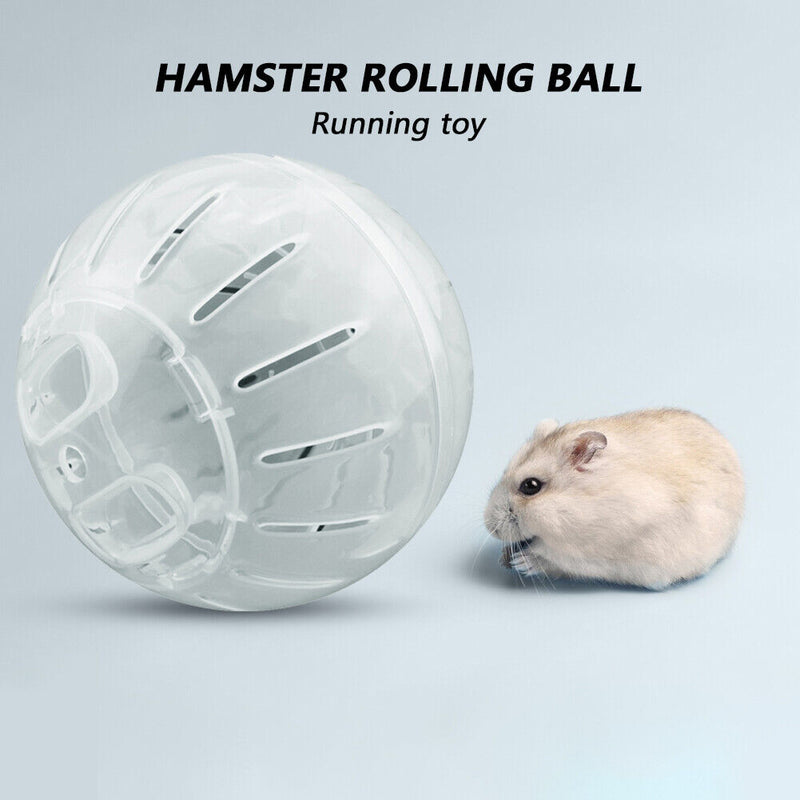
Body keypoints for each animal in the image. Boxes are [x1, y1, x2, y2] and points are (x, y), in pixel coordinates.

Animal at [484, 409, 744, 589]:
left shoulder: (590, 550)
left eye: (531, 486)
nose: (489, 526)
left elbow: (551, 556)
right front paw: (503, 558)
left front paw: (520, 562)